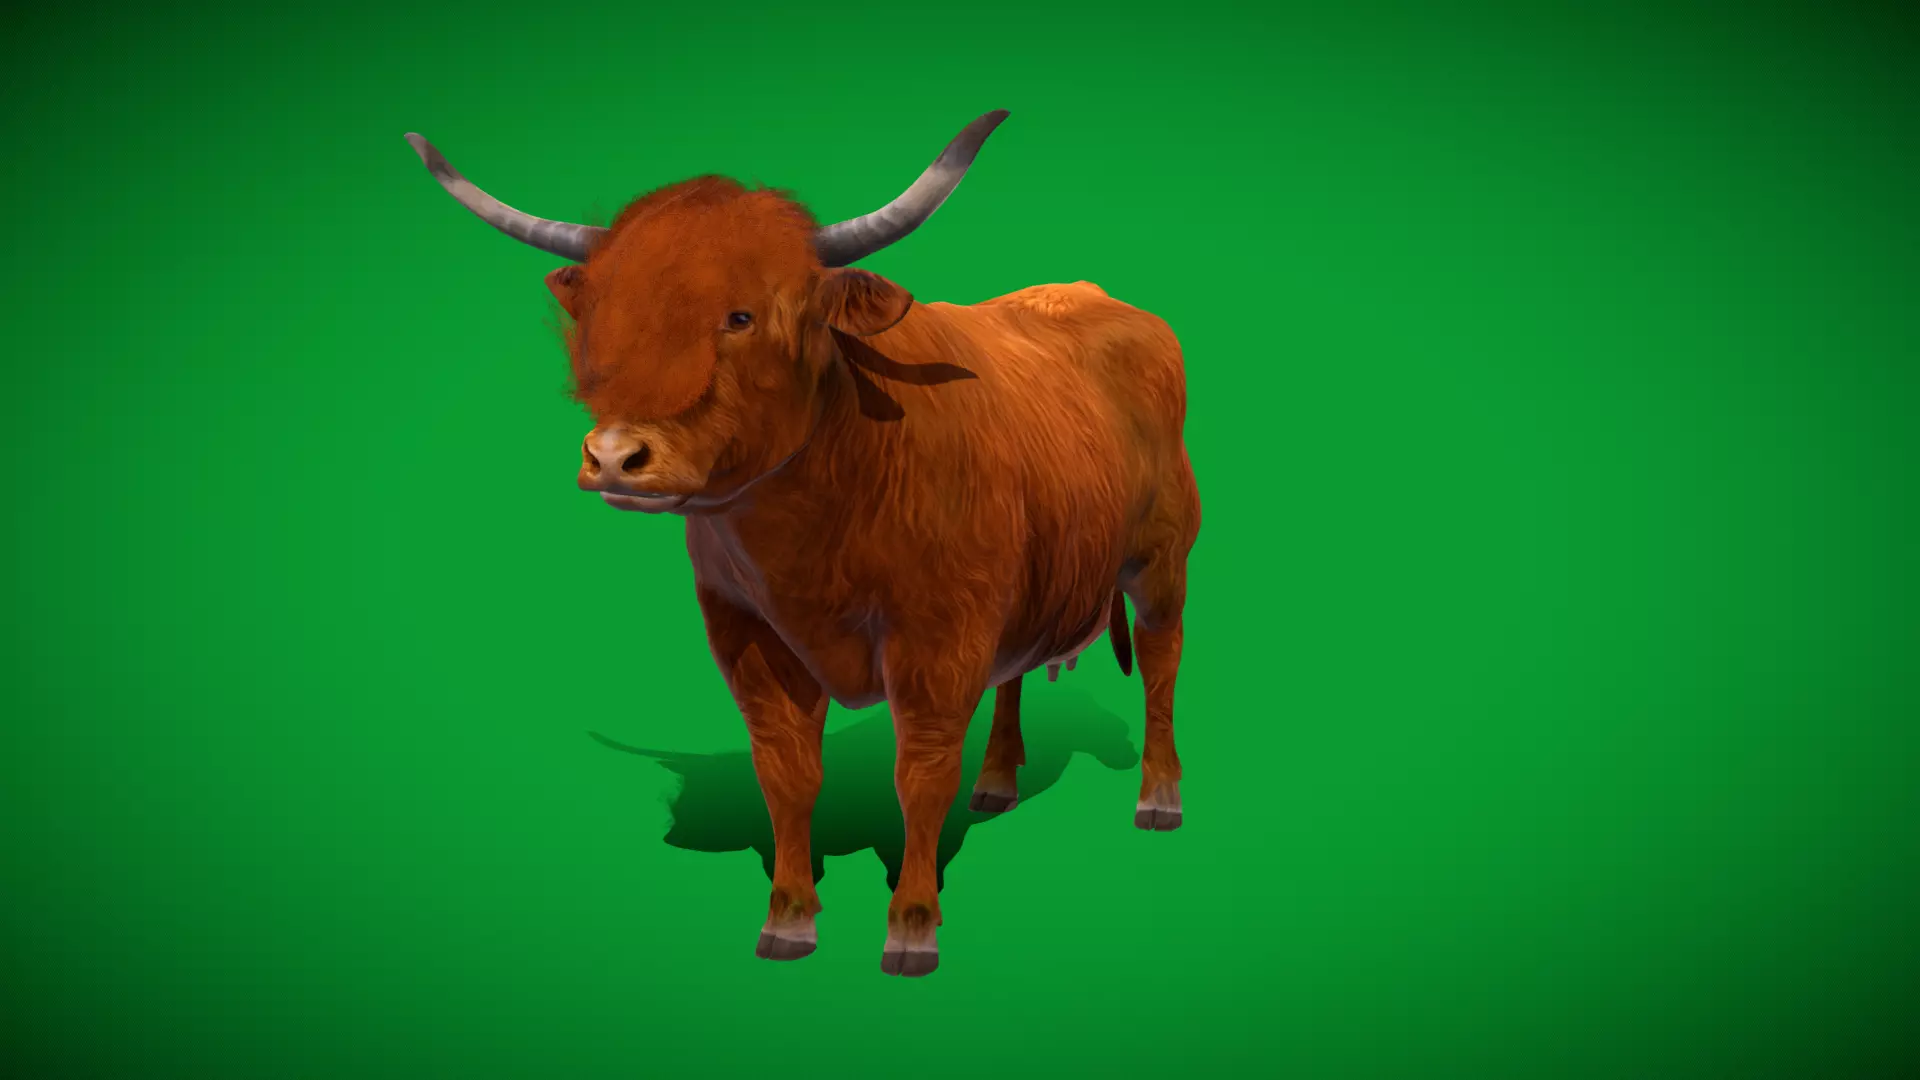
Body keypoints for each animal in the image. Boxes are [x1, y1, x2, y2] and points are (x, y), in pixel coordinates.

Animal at [403, 110, 1201, 977]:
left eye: (741, 316)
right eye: (600, 320)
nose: (614, 457)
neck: (813, 528)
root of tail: (1095, 298)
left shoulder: (941, 635)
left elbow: (920, 774)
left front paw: (913, 924)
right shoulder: (745, 630)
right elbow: (785, 771)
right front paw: (788, 917)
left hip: (1163, 562)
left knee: (1161, 666)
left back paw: (1159, 797)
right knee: (1016, 673)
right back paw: (996, 782)